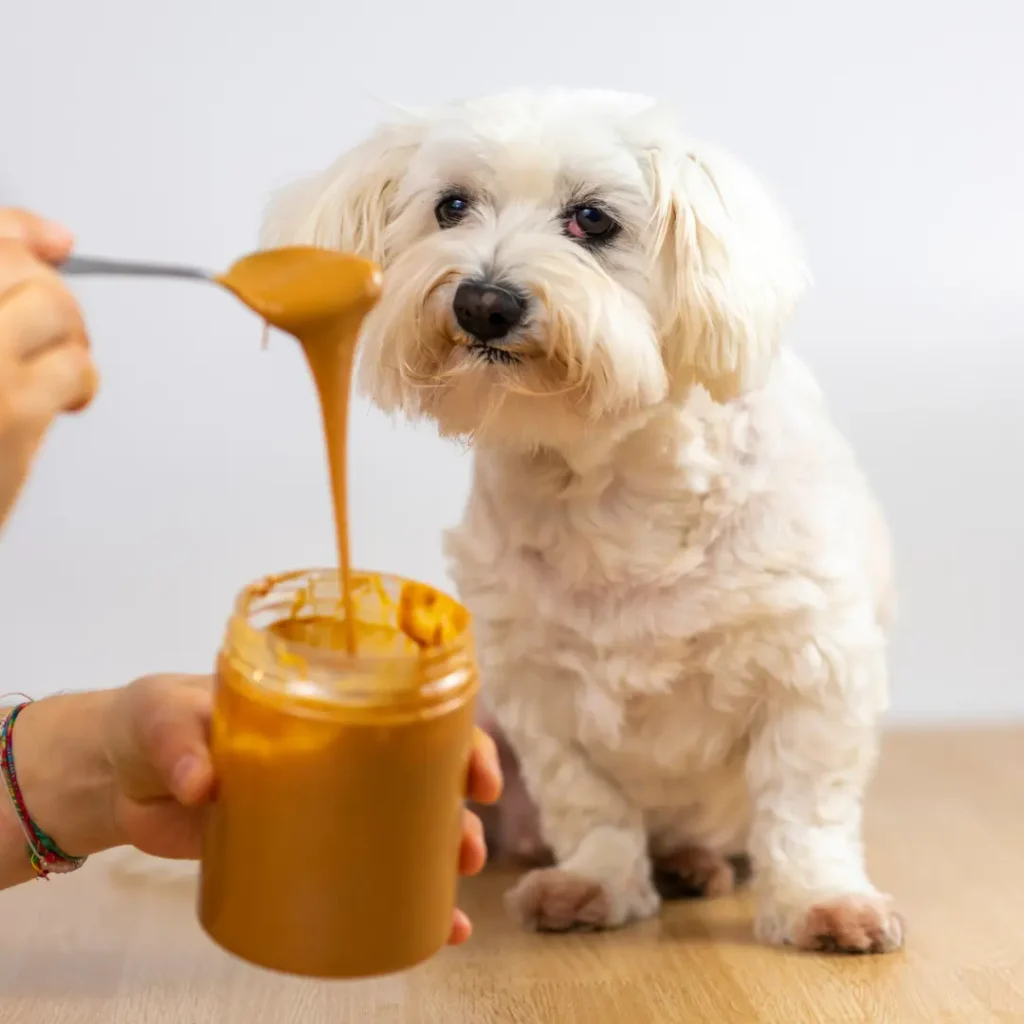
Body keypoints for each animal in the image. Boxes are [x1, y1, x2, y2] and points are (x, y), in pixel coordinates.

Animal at [266, 92, 905, 954]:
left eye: (594, 219)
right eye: (451, 206)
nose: (484, 302)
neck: (607, 485)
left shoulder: (812, 667)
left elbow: (804, 807)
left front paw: (822, 901)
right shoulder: (540, 689)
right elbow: (589, 803)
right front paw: (595, 884)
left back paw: (696, 862)